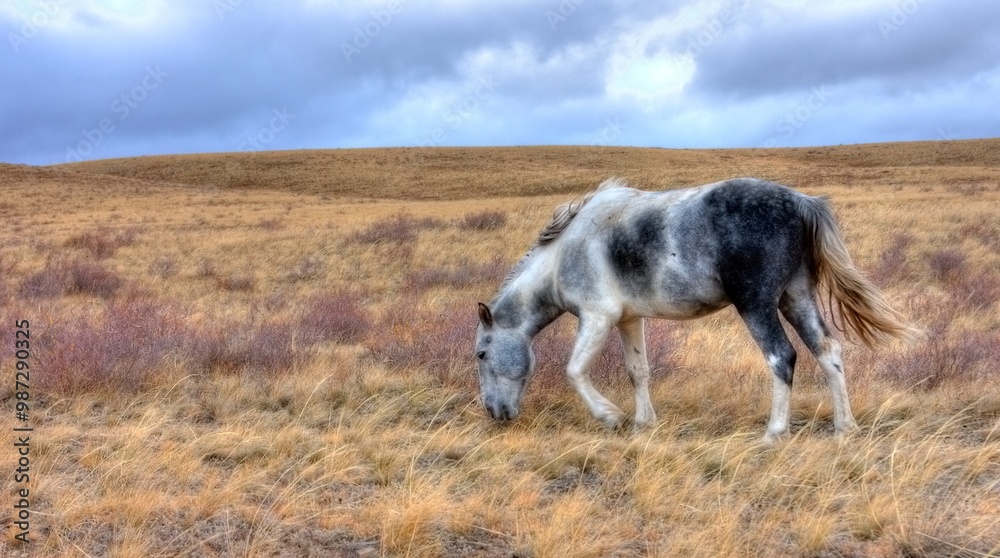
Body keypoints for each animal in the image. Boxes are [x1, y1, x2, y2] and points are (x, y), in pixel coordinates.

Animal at [475, 177, 919, 443]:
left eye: (481, 354)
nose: (495, 412)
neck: (567, 252)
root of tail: (800, 201)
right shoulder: (628, 320)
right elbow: (638, 371)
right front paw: (643, 423)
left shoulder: (597, 318)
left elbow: (575, 371)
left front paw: (611, 417)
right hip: (798, 298)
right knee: (828, 352)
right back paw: (845, 427)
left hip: (757, 305)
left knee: (782, 357)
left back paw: (774, 432)